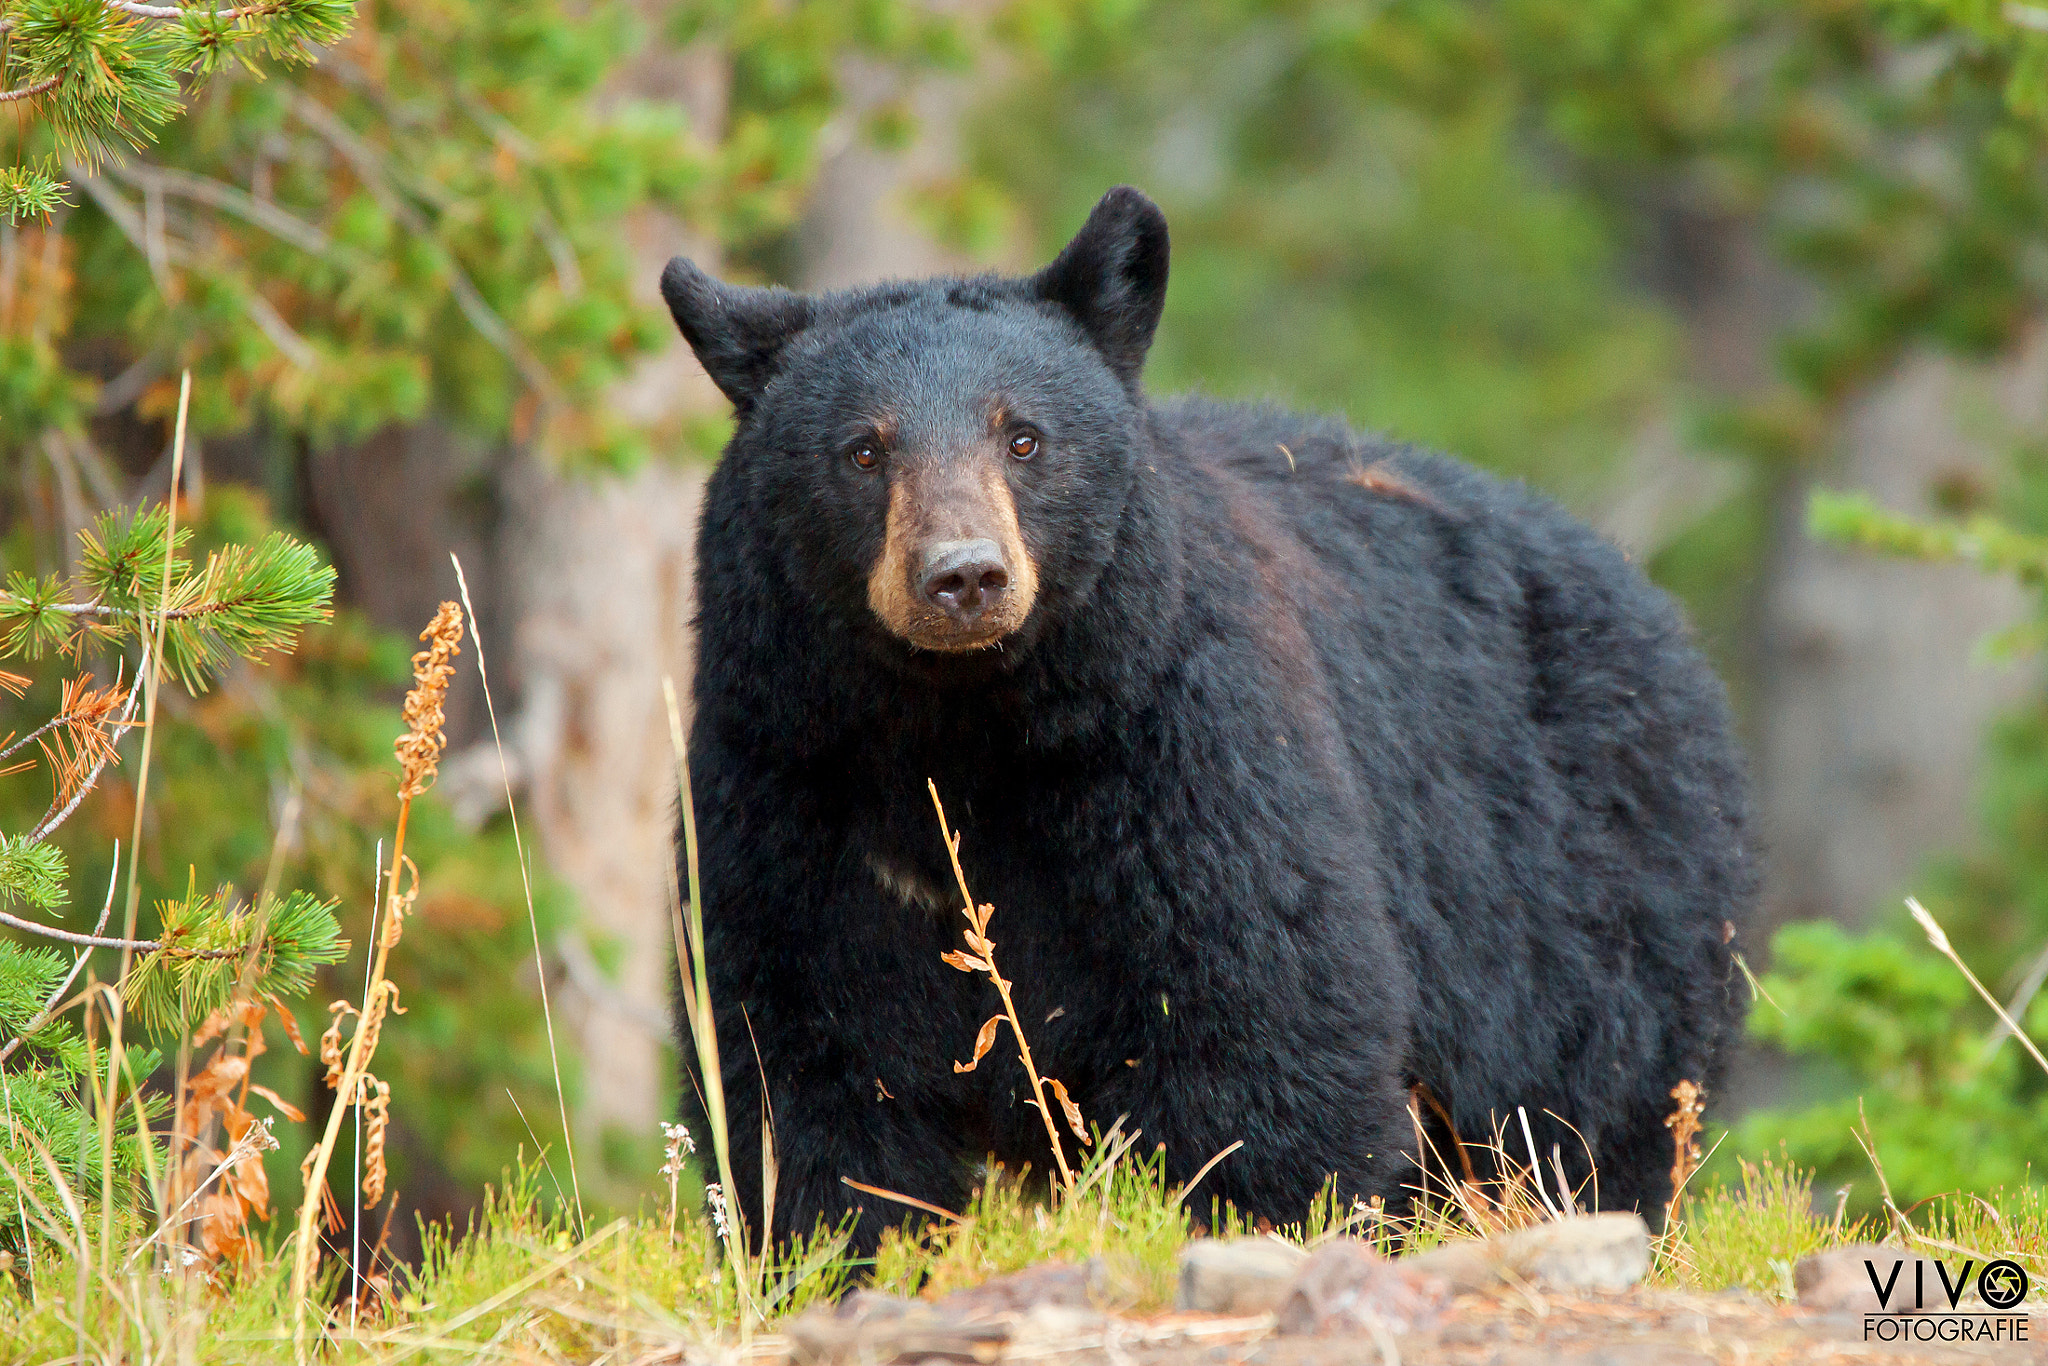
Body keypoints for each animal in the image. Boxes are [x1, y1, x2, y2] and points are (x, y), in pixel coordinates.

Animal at [663, 187, 1753, 1253]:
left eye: (1023, 437)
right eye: (862, 450)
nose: (963, 576)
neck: (963, 728)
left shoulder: (1180, 747)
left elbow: (1260, 1008)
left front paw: (1259, 1219)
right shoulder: (785, 773)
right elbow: (801, 1054)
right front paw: (833, 1247)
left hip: (1590, 900)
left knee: (1586, 1107)